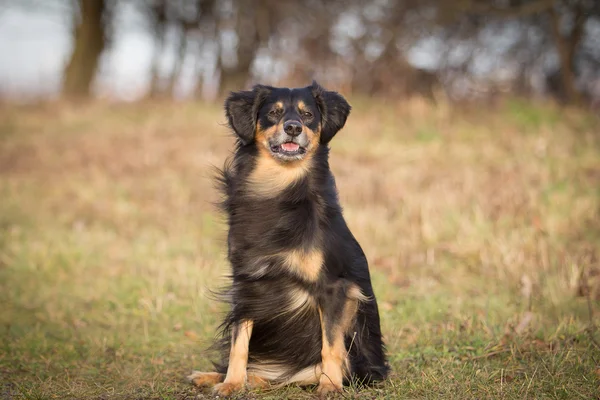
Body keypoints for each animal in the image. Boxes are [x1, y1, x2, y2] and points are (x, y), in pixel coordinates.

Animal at [190, 80, 392, 396]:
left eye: (308, 115)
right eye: (273, 112)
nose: (294, 128)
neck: (280, 185)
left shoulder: (333, 288)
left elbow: (330, 345)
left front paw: (330, 386)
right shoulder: (246, 285)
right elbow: (239, 343)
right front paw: (231, 383)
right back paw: (217, 377)